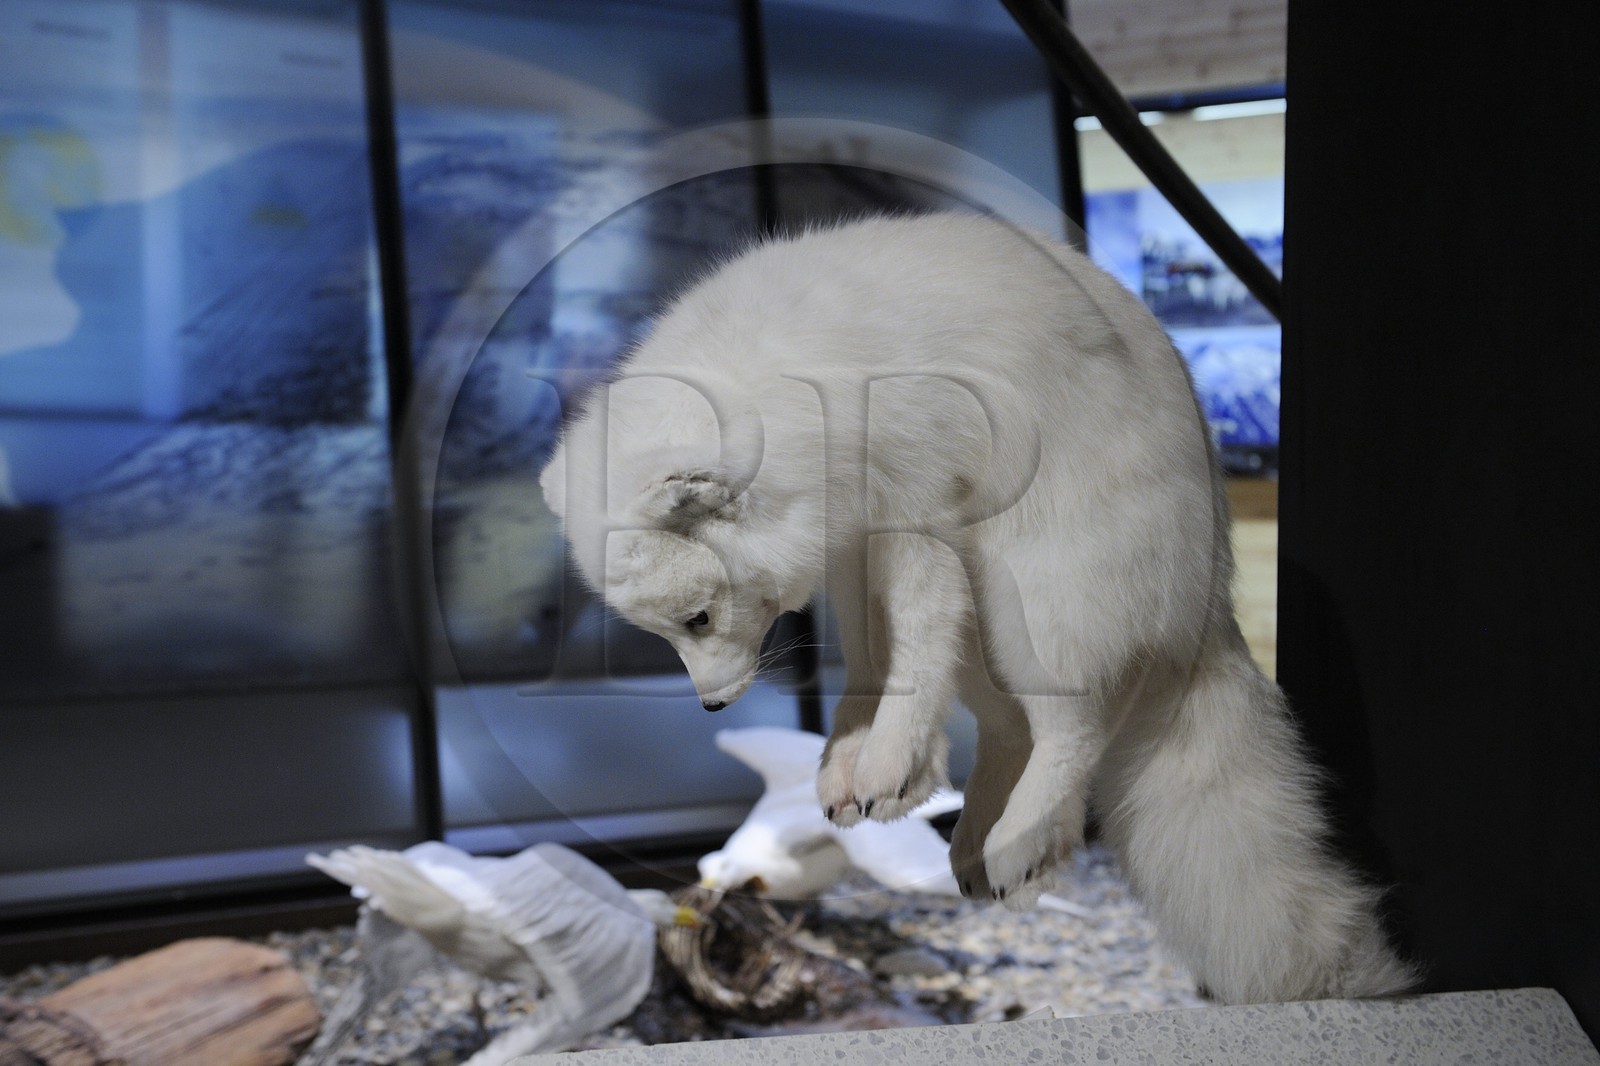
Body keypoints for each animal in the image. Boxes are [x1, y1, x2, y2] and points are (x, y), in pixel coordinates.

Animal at [538, 213, 1416, 1004]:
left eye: (698, 619)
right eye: (664, 632)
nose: (714, 705)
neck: (790, 390)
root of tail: (1206, 599)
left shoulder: (910, 507)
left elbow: (919, 635)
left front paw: (889, 760)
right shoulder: (853, 541)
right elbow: (871, 655)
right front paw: (855, 758)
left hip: (1031, 598)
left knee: (1073, 727)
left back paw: (1019, 838)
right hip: (995, 635)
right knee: (1006, 730)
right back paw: (978, 843)